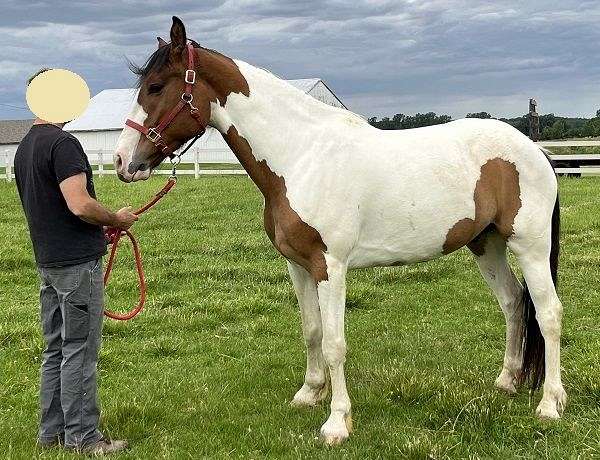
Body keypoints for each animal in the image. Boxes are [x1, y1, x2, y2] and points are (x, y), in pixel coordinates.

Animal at [113, 17, 568, 446]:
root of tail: (534, 150)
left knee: (548, 314)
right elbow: (312, 331)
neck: (300, 156)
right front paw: (309, 393)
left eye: (155, 86)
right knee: (513, 303)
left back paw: (550, 404)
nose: (122, 162)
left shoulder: (330, 267)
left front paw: (337, 423)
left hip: (530, 247)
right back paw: (507, 382)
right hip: (486, 245)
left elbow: (335, 344)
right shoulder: (298, 266)